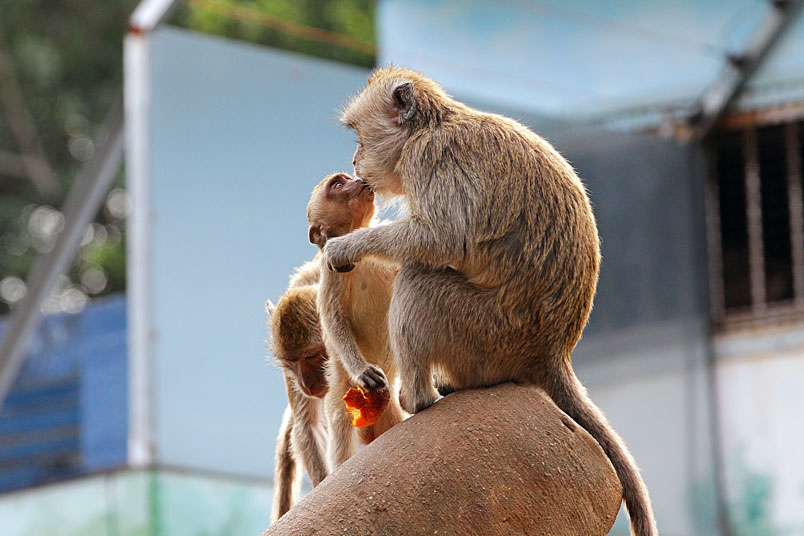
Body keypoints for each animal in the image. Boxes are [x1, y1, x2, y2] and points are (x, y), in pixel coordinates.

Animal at [307, 172, 407, 471]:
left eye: (346, 178)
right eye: (339, 185)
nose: (359, 181)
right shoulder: (330, 271)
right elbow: (334, 321)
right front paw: (362, 369)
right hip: (343, 394)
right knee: (342, 427)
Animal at [323, 67, 658, 536]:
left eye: (358, 135)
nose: (355, 160)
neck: (429, 127)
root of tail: (551, 354)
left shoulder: (428, 159)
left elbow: (442, 240)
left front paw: (347, 246)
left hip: (485, 334)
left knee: (419, 280)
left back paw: (417, 399)